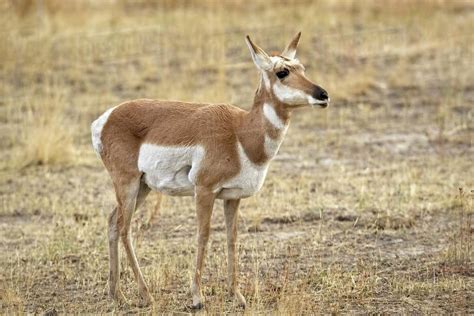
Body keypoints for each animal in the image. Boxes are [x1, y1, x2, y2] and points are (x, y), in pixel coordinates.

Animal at [91, 32, 330, 308]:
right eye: (282, 71)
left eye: (302, 68)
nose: (323, 95)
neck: (240, 133)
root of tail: (105, 118)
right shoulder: (204, 191)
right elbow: (203, 235)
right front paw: (197, 297)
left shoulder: (232, 197)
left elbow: (232, 238)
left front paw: (236, 295)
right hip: (128, 184)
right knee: (124, 228)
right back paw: (145, 294)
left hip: (142, 187)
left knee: (112, 222)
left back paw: (116, 294)